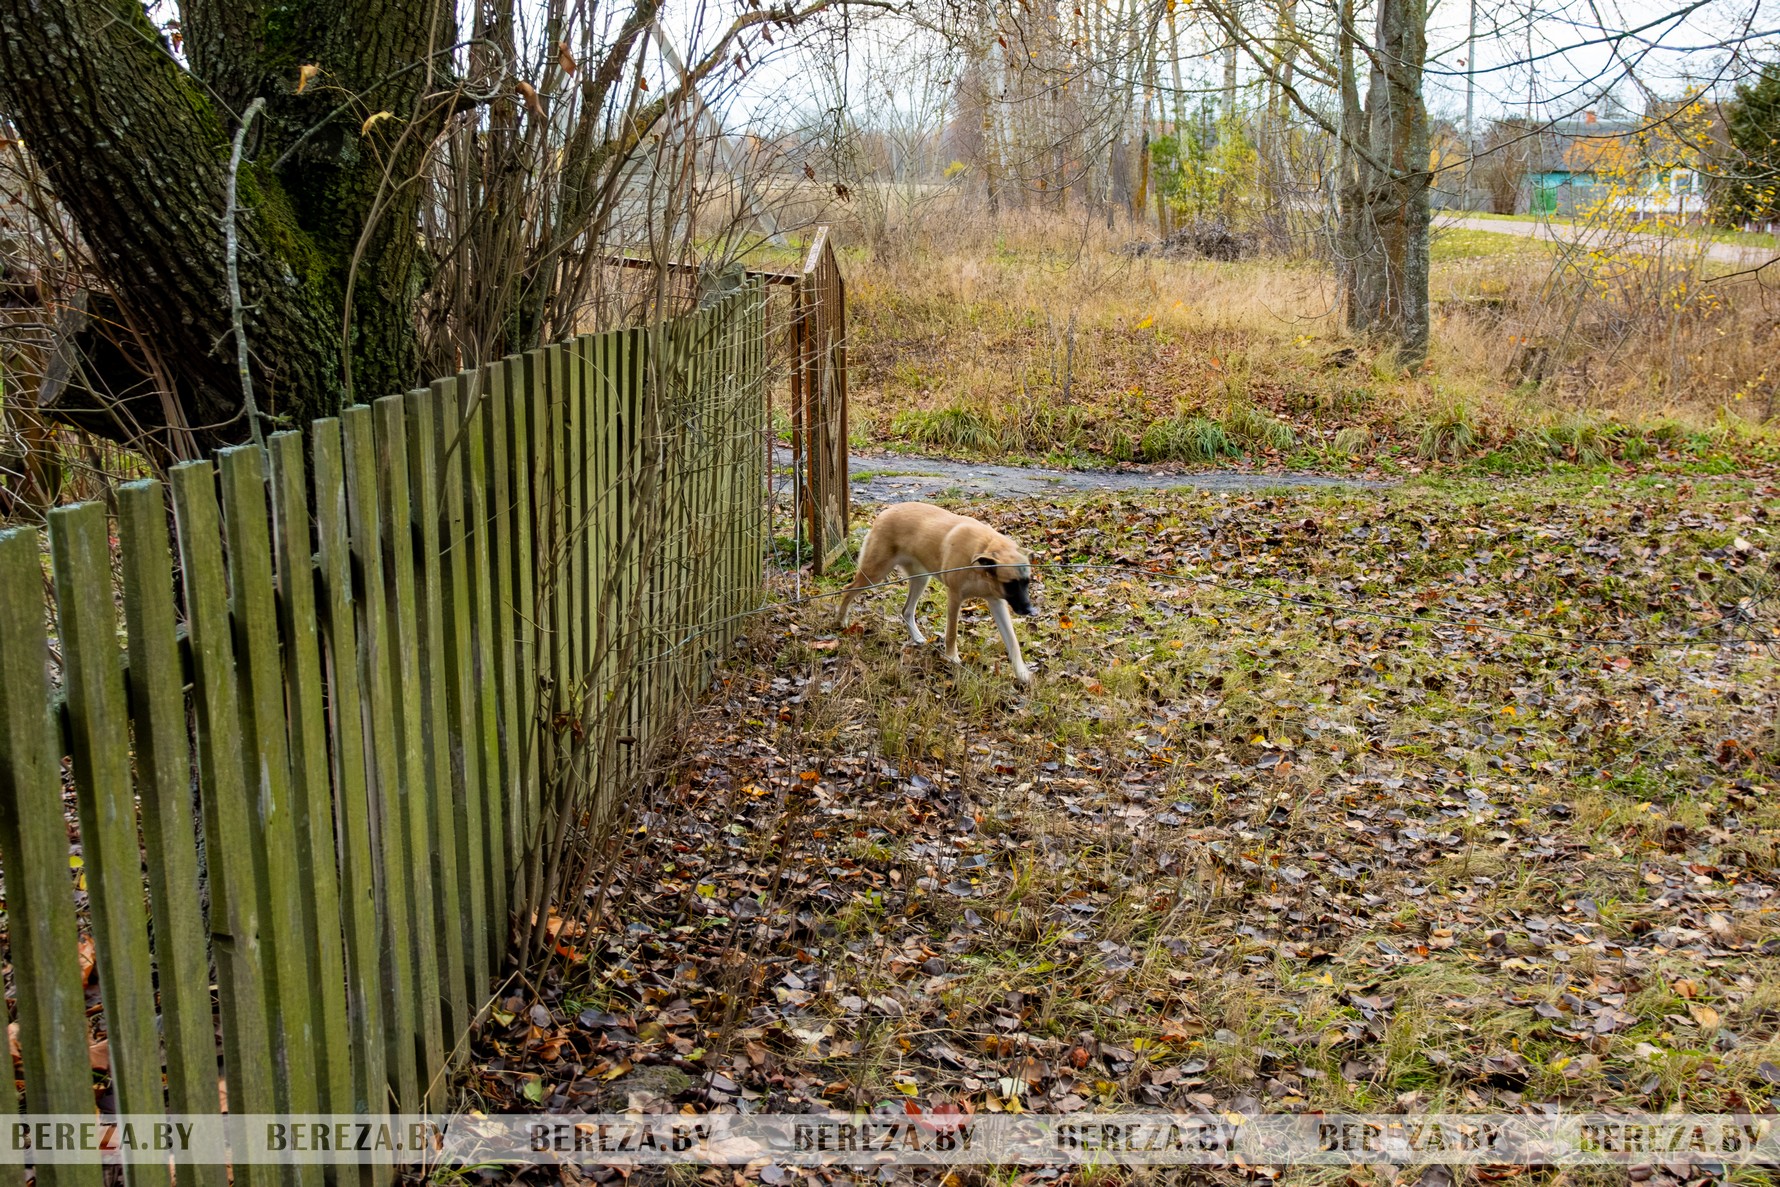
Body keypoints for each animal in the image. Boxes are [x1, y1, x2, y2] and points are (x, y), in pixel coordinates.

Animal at [836, 505, 1039, 686]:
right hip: (874, 573)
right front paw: (952, 658)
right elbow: (951, 633)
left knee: (906, 610)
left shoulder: (997, 603)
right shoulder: (955, 597)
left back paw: (917, 637)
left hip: (920, 579)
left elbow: (1013, 642)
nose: (1031, 611)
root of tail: (885, 512)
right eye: (1011, 584)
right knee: (847, 589)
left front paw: (1022, 673)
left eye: (1027, 582)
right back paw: (841, 620)